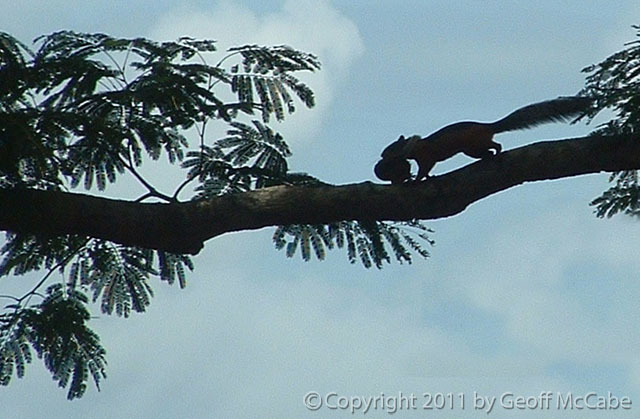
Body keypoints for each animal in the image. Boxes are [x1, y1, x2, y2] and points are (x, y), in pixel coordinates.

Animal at [376, 98, 596, 185]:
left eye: (392, 148)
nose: (381, 156)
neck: (415, 146)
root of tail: (488, 126)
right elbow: (428, 171)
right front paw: (427, 177)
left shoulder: (426, 157)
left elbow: (424, 169)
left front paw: (416, 180)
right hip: (472, 150)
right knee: (487, 152)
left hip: (475, 144)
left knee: (495, 146)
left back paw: (498, 153)